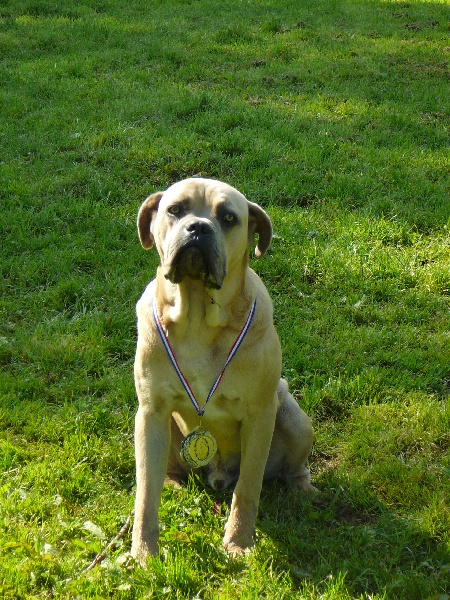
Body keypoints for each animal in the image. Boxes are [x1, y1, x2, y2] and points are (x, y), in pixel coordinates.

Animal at [130, 177, 316, 564]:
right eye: (175, 209)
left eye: (229, 217)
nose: (198, 228)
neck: (198, 317)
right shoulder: (152, 410)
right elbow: (145, 494)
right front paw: (144, 550)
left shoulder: (260, 414)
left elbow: (247, 489)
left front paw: (238, 541)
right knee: (161, 472)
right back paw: (172, 482)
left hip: (293, 417)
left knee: (292, 467)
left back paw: (303, 488)